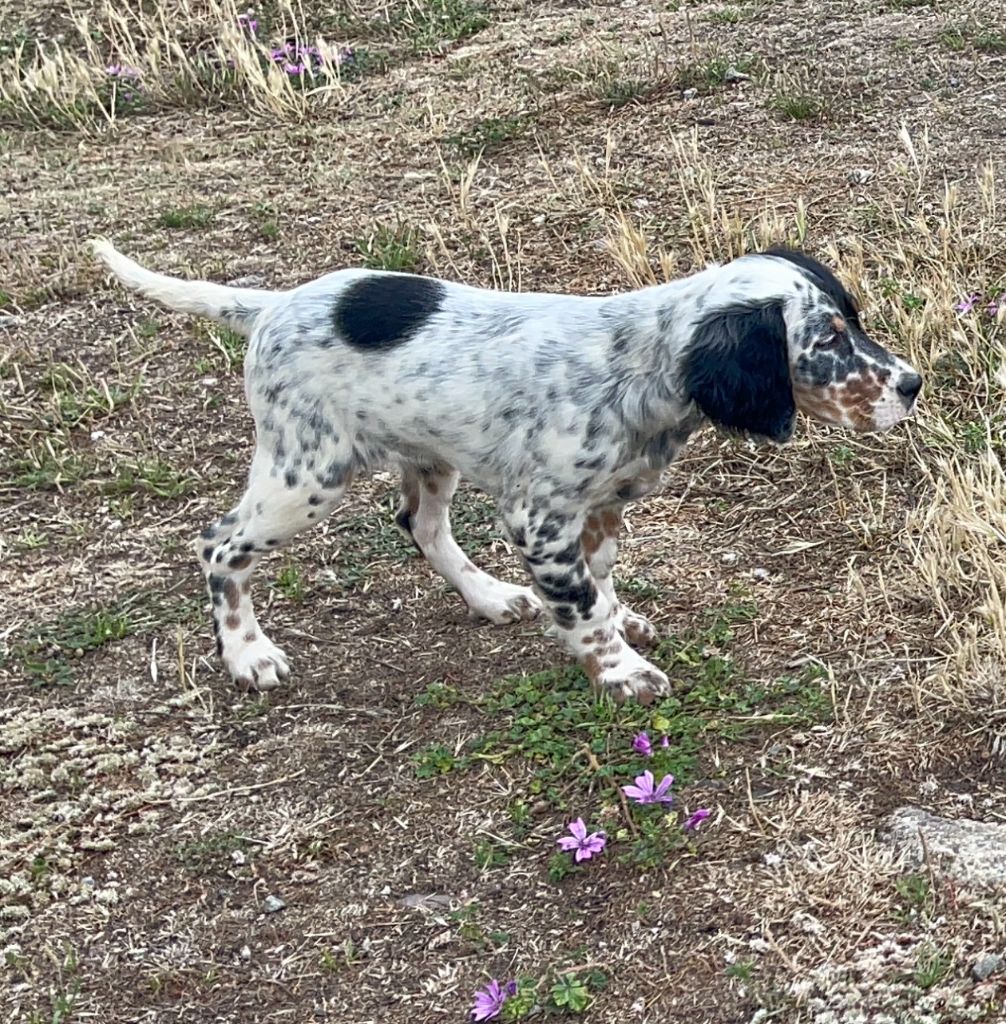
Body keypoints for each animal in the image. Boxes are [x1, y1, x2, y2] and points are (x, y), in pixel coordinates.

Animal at [92, 239, 921, 704]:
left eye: (855, 322)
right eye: (828, 341)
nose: (912, 384)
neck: (637, 363)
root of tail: (271, 306)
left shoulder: (601, 509)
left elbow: (598, 585)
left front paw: (615, 622)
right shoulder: (541, 519)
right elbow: (581, 608)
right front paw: (618, 671)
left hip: (427, 458)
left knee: (420, 525)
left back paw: (490, 597)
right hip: (307, 472)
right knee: (218, 546)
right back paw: (247, 653)